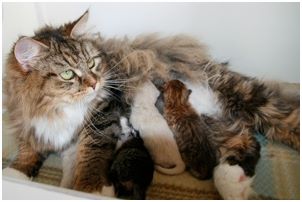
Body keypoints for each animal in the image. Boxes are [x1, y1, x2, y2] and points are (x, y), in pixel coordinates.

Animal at [3, 9, 298, 199]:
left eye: (92, 63)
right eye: (67, 74)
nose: (95, 83)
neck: (56, 108)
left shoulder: (104, 115)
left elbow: (90, 158)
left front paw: (89, 189)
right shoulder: (30, 123)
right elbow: (28, 150)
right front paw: (16, 174)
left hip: (243, 97)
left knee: (273, 126)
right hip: (207, 119)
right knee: (247, 140)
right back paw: (234, 183)